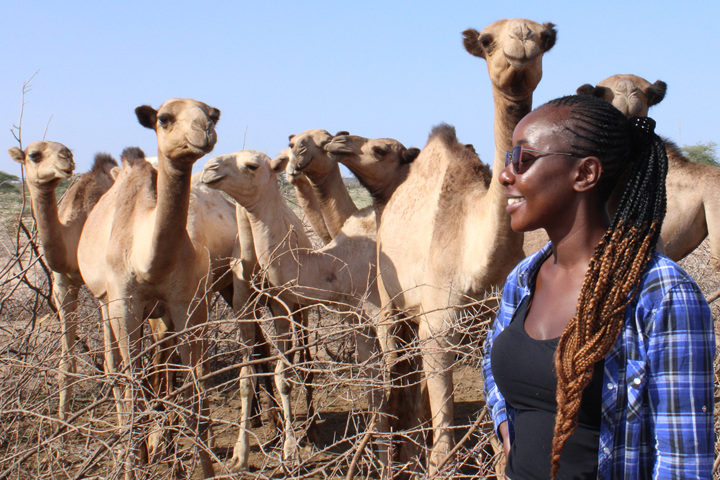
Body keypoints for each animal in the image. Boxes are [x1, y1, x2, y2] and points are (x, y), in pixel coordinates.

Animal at [8, 143, 117, 421]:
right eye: (33, 155)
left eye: (67, 150)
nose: (66, 157)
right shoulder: (63, 286)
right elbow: (65, 363)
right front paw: (61, 426)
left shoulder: (105, 290)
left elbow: (112, 361)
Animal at [77, 98, 236, 478]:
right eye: (164, 119)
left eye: (212, 113)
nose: (205, 131)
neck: (146, 262)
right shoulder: (124, 304)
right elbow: (133, 387)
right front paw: (132, 466)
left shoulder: (185, 304)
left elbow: (195, 397)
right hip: (104, 304)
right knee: (117, 372)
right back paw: (135, 453)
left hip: (165, 314)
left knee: (159, 372)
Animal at [361, 18, 556, 475]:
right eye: (486, 41)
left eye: (543, 38)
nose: (521, 37)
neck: (478, 262)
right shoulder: (438, 328)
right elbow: (444, 443)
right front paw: (434, 461)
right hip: (388, 296)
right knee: (392, 373)